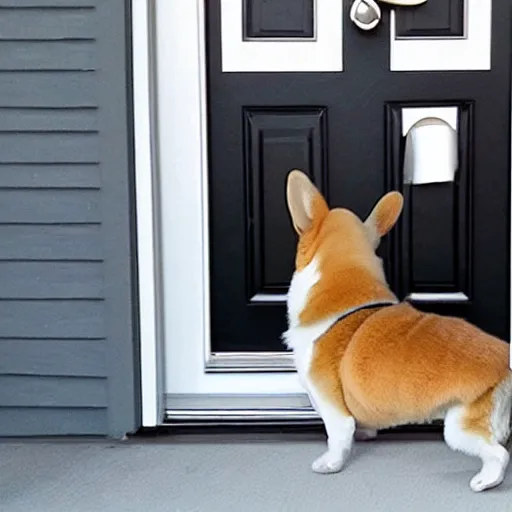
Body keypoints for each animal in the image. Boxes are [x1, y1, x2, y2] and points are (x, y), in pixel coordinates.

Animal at [284, 169, 512, 492]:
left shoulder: (331, 407)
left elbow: (337, 437)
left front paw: (330, 464)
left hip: (459, 427)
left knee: (498, 454)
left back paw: (485, 480)